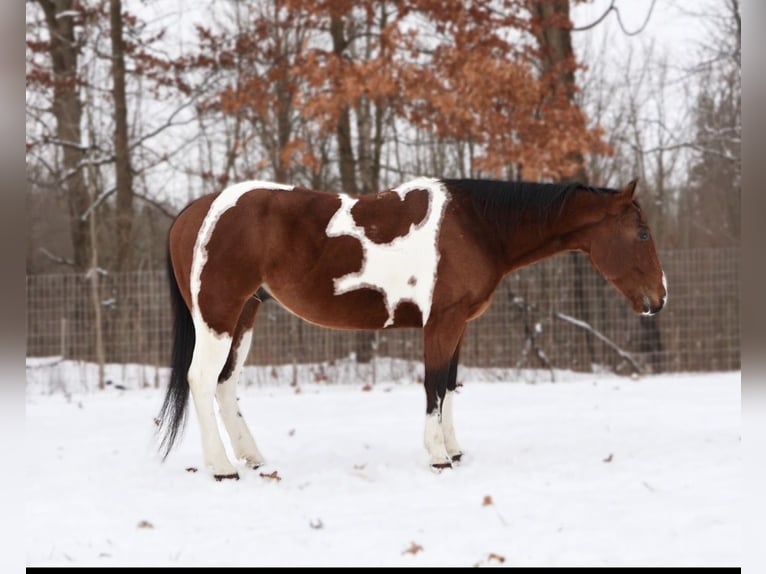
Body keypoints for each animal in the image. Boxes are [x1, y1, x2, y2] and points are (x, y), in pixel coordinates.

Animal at [157, 176, 667, 480]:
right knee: (201, 380)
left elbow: (451, 385)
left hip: (245, 316)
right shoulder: (441, 321)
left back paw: (253, 457)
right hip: (218, 318)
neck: (475, 226)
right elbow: (434, 385)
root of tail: (193, 212)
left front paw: (455, 450)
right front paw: (438, 456)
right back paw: (222, 466)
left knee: (225, 385)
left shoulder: (458, 324)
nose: (659, 299)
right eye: (642, 234)